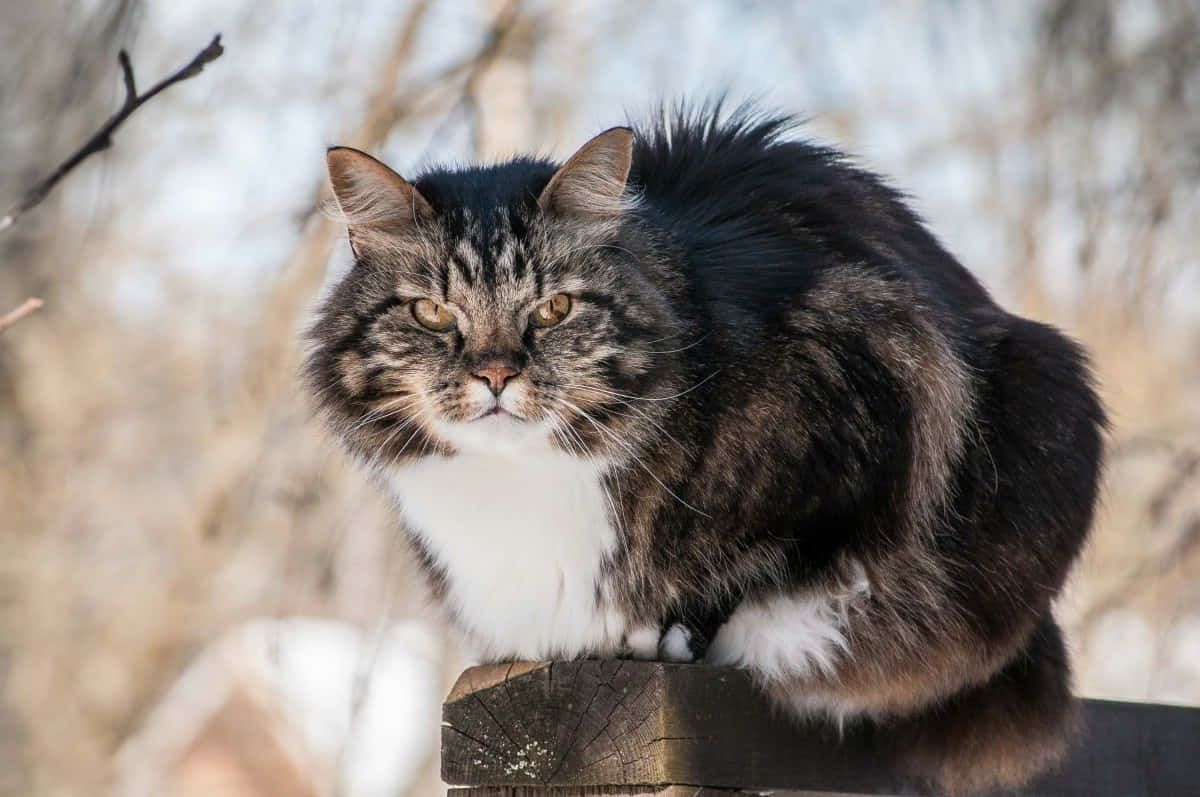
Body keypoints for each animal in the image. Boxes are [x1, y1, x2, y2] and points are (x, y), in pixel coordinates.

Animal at [307, 107, 1104, 797]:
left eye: (554, 309)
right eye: (433, 312)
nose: (496, 374)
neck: (519, 482)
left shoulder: (869, 387)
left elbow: (772, 562)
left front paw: (671, 633)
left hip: (1038, 396)